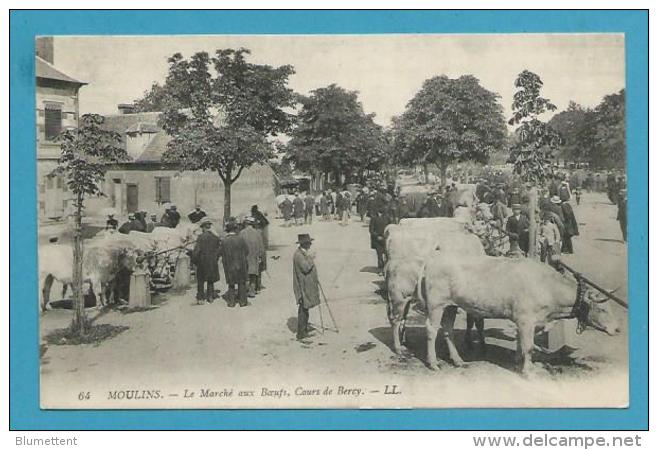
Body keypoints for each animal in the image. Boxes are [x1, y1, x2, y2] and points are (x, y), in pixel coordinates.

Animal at [418, 256, 616, 372]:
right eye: (603, 309)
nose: (617, 329)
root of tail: (431, 262)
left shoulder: (526, 321)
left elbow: (522, 342)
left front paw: (517, 360)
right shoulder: (526, 319)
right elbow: (528, 346)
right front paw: (528, 372)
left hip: (451, 305)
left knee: (447, 330)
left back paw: (458, 360)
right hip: (436, 304)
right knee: (431, 329)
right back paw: (433, 363)